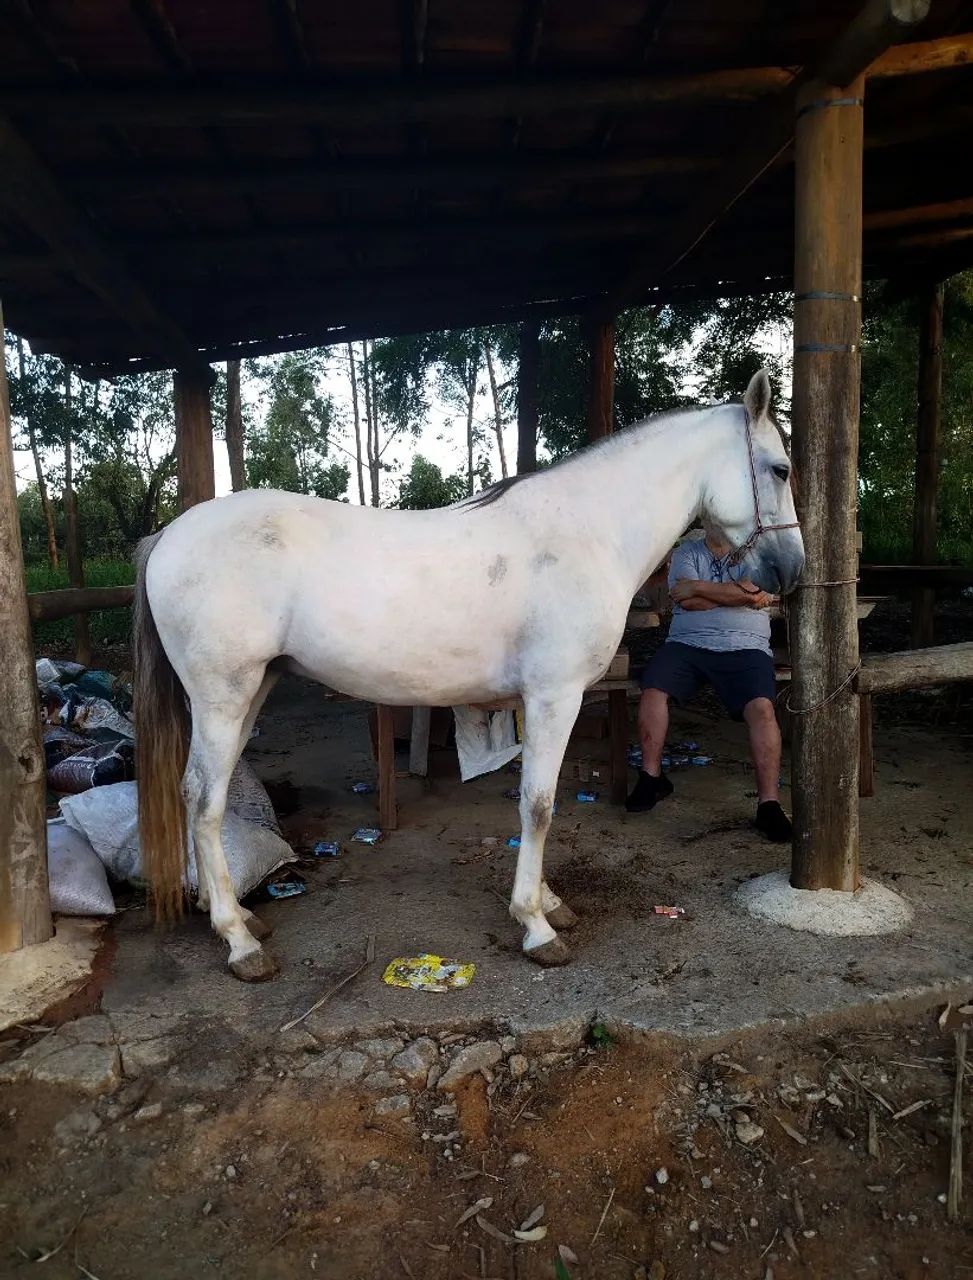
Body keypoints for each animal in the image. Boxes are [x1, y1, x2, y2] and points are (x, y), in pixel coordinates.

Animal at [133, 368, 804, 982]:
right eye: (780, 469)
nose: (791, 572)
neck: (586, 533)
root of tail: (168, 534)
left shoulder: (537, 701)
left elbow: (534, 801)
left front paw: (549, 903)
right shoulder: (555, 696)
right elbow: (539, 805)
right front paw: (535, 926)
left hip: (251, 690)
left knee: (197, 795)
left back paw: (232, 915)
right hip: (223, 697)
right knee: (204, 800)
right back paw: (238, 941)